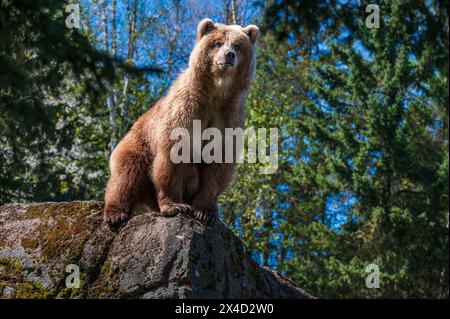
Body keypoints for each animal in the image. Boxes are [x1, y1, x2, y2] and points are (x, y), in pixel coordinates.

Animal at [103, 18, 258, 225]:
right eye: (217, 43)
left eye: (237, 46)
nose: (229, 55)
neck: (215, 94)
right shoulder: (186, 109)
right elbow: (174, 155)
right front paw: (175, 205)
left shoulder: (228, 115)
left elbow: (216, 163)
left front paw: (205, 211)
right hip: (139, 144)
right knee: (127, 174)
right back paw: (115, 212)